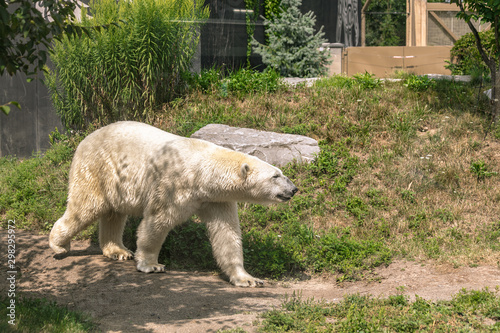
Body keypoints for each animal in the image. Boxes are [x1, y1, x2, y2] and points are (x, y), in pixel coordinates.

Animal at [47, 120, 296, 286]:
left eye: (281, 173)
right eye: (275, 176)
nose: (293, 189)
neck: (203, 170)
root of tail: (85, 139)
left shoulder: (215, 199)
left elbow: (227, 234)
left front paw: (248, 279)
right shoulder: (173, 185)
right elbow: (157, 222)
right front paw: (151, 265)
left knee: (113, 213)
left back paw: (118, 250)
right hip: (96, 168)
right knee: (85, 207)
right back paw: (59, 245)